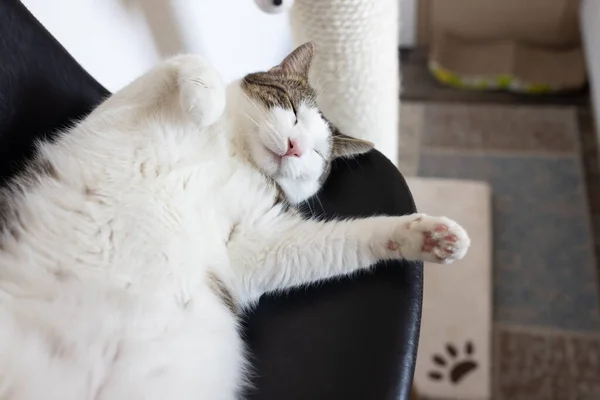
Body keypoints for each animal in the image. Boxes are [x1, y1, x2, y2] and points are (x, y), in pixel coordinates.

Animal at [0, 42, 468, 398]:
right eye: (292, 110)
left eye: (318, 155)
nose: (297, 147)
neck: (235, 154)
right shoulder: (113, 113)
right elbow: (187, 57)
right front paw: (207, 103)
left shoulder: (251, 248)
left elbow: (336, 242)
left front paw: (425, 235)